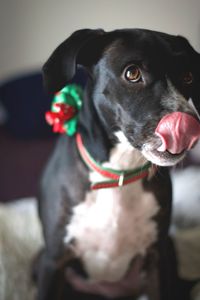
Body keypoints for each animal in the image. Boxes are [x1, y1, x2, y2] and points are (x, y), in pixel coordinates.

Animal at [36, 28, 200, 300]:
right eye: (132, 73)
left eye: (188, 76)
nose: (188, 124)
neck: (118, 172)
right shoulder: (53, 262)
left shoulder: (159, 258)